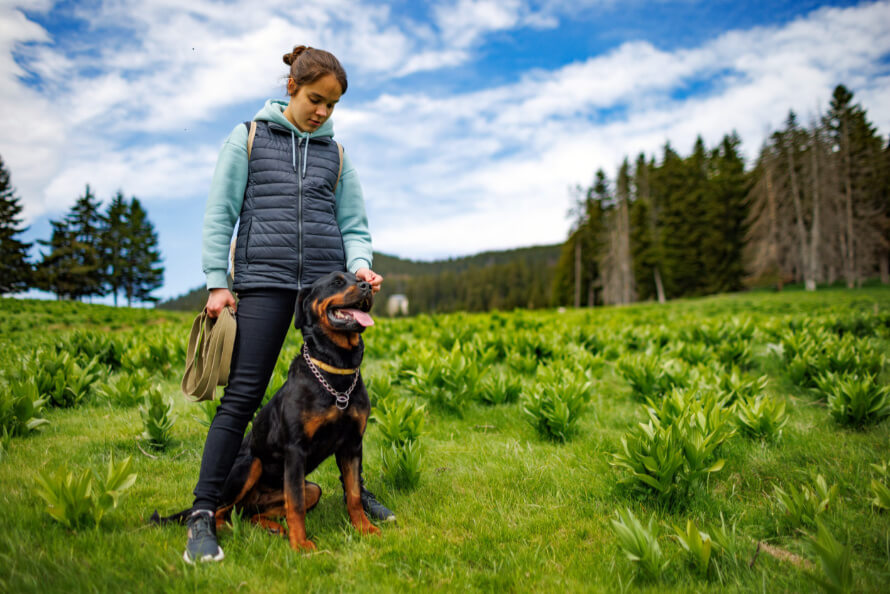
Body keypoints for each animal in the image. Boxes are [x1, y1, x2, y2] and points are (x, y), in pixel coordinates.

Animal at [153, 270, 378, 548]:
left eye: (358, 277)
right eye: (336, 281)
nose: (367, 285)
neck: (336, 369)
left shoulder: (352, 444)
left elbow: (354, 494)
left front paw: (365, 528)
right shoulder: (295, 449)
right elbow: (296, 505)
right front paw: (300, 545)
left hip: (311, 488)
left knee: (249, 513)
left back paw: (270, 527)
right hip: (250, 465)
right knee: (222, 512)